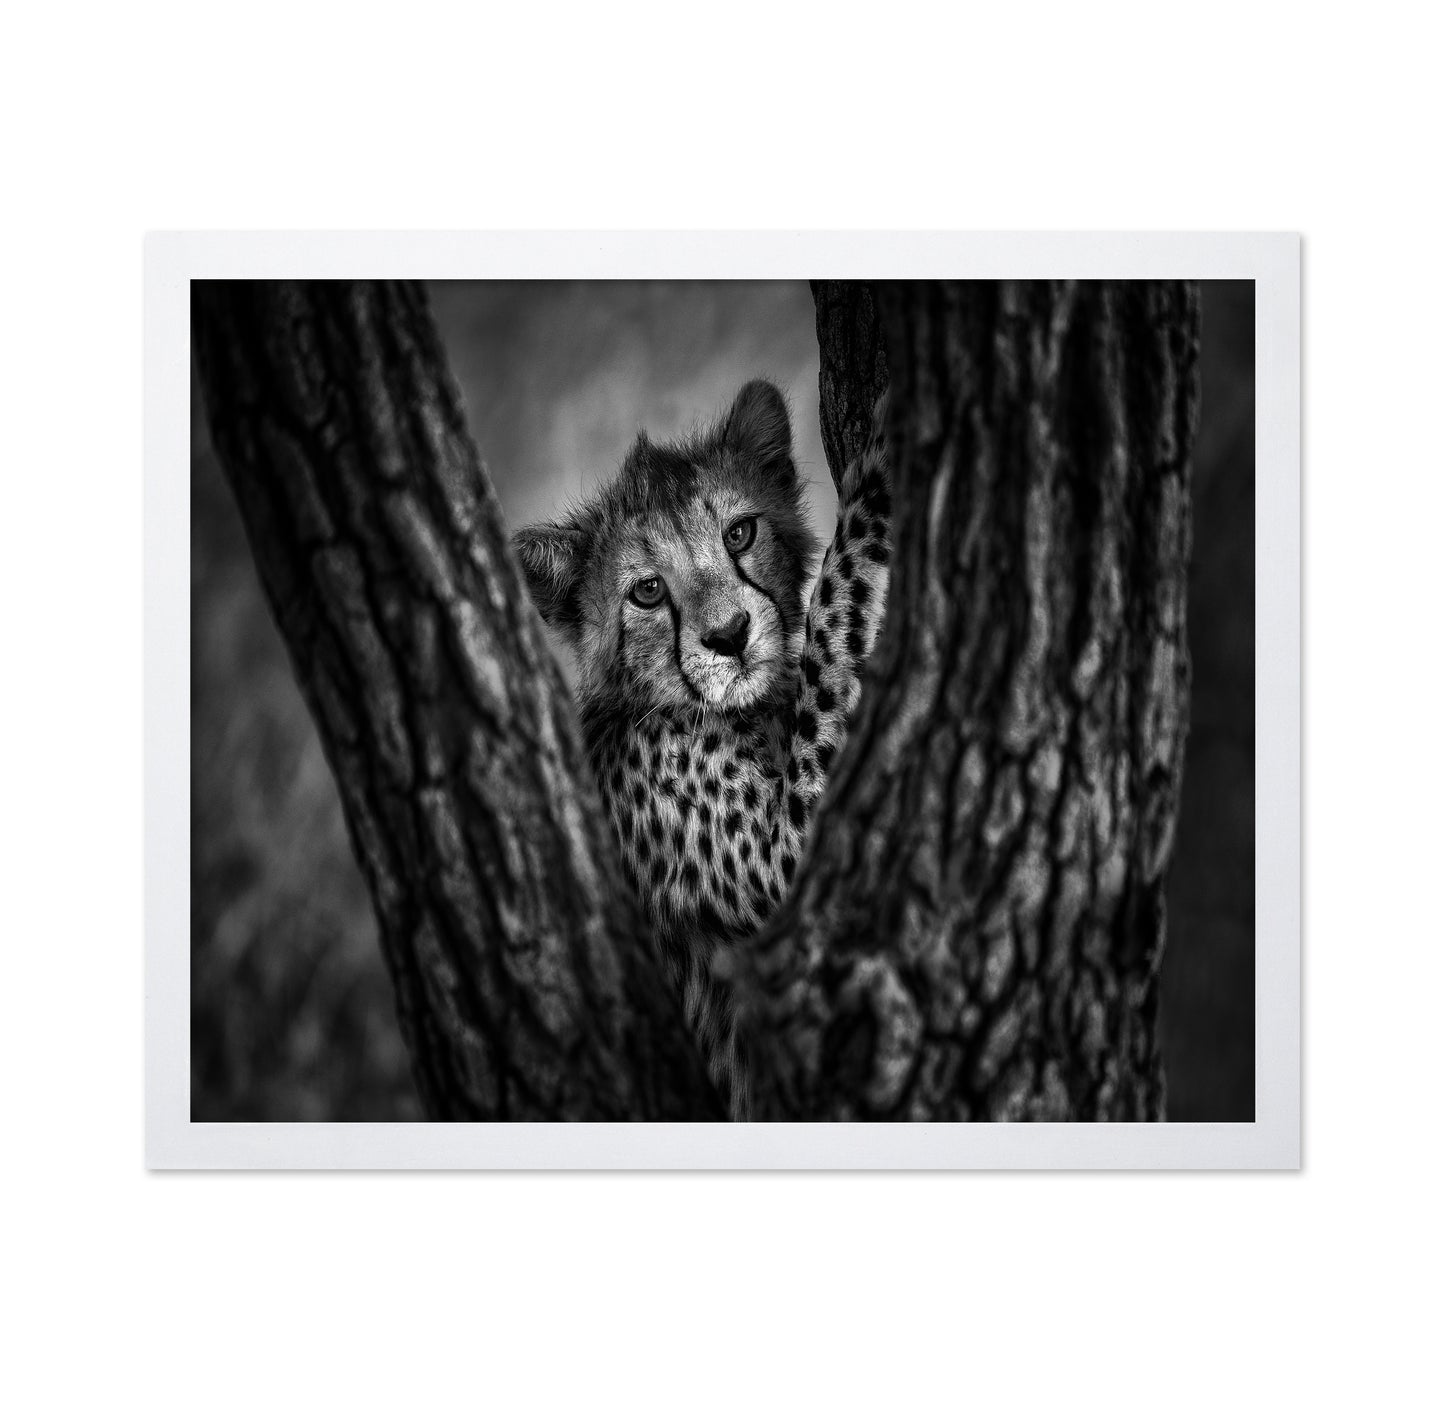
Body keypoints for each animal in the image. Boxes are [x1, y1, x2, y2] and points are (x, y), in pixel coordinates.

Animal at [513, 379, 891, 1117]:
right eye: (647, 590)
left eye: (739, 533)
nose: (729, 634)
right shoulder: (789, 873)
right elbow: (836, 612)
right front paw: (881, 474)